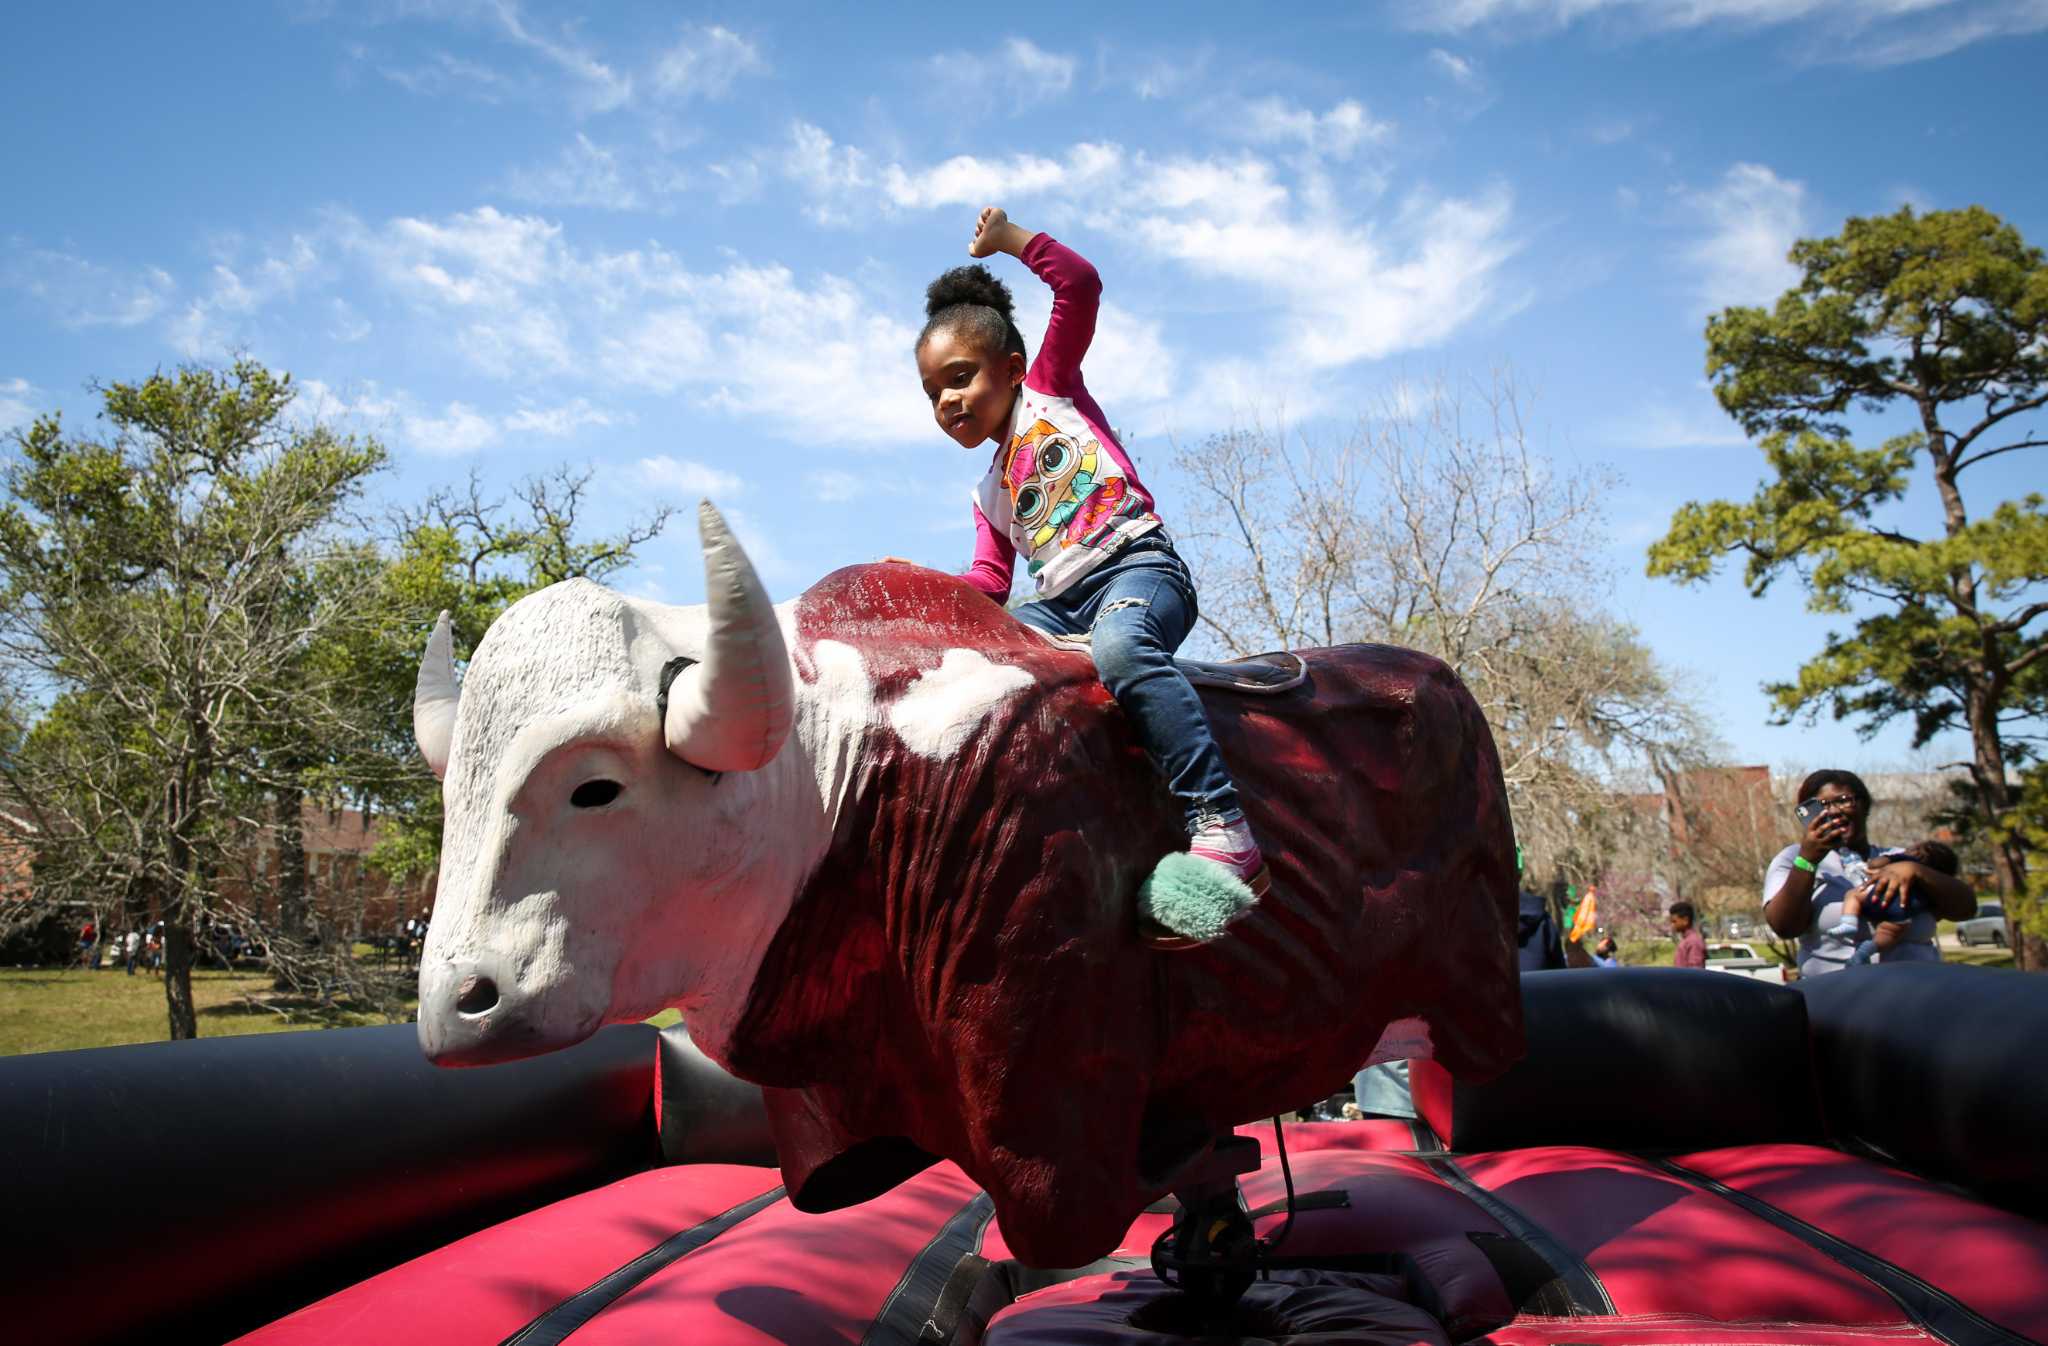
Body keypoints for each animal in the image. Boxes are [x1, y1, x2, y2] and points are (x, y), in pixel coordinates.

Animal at [411, 497, 1523, 1262]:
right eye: (453, 789)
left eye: (594, 787)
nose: (459, 1003)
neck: (850, 777)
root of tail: (1440, 680)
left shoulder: (1045, 1085)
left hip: (1478, 985)